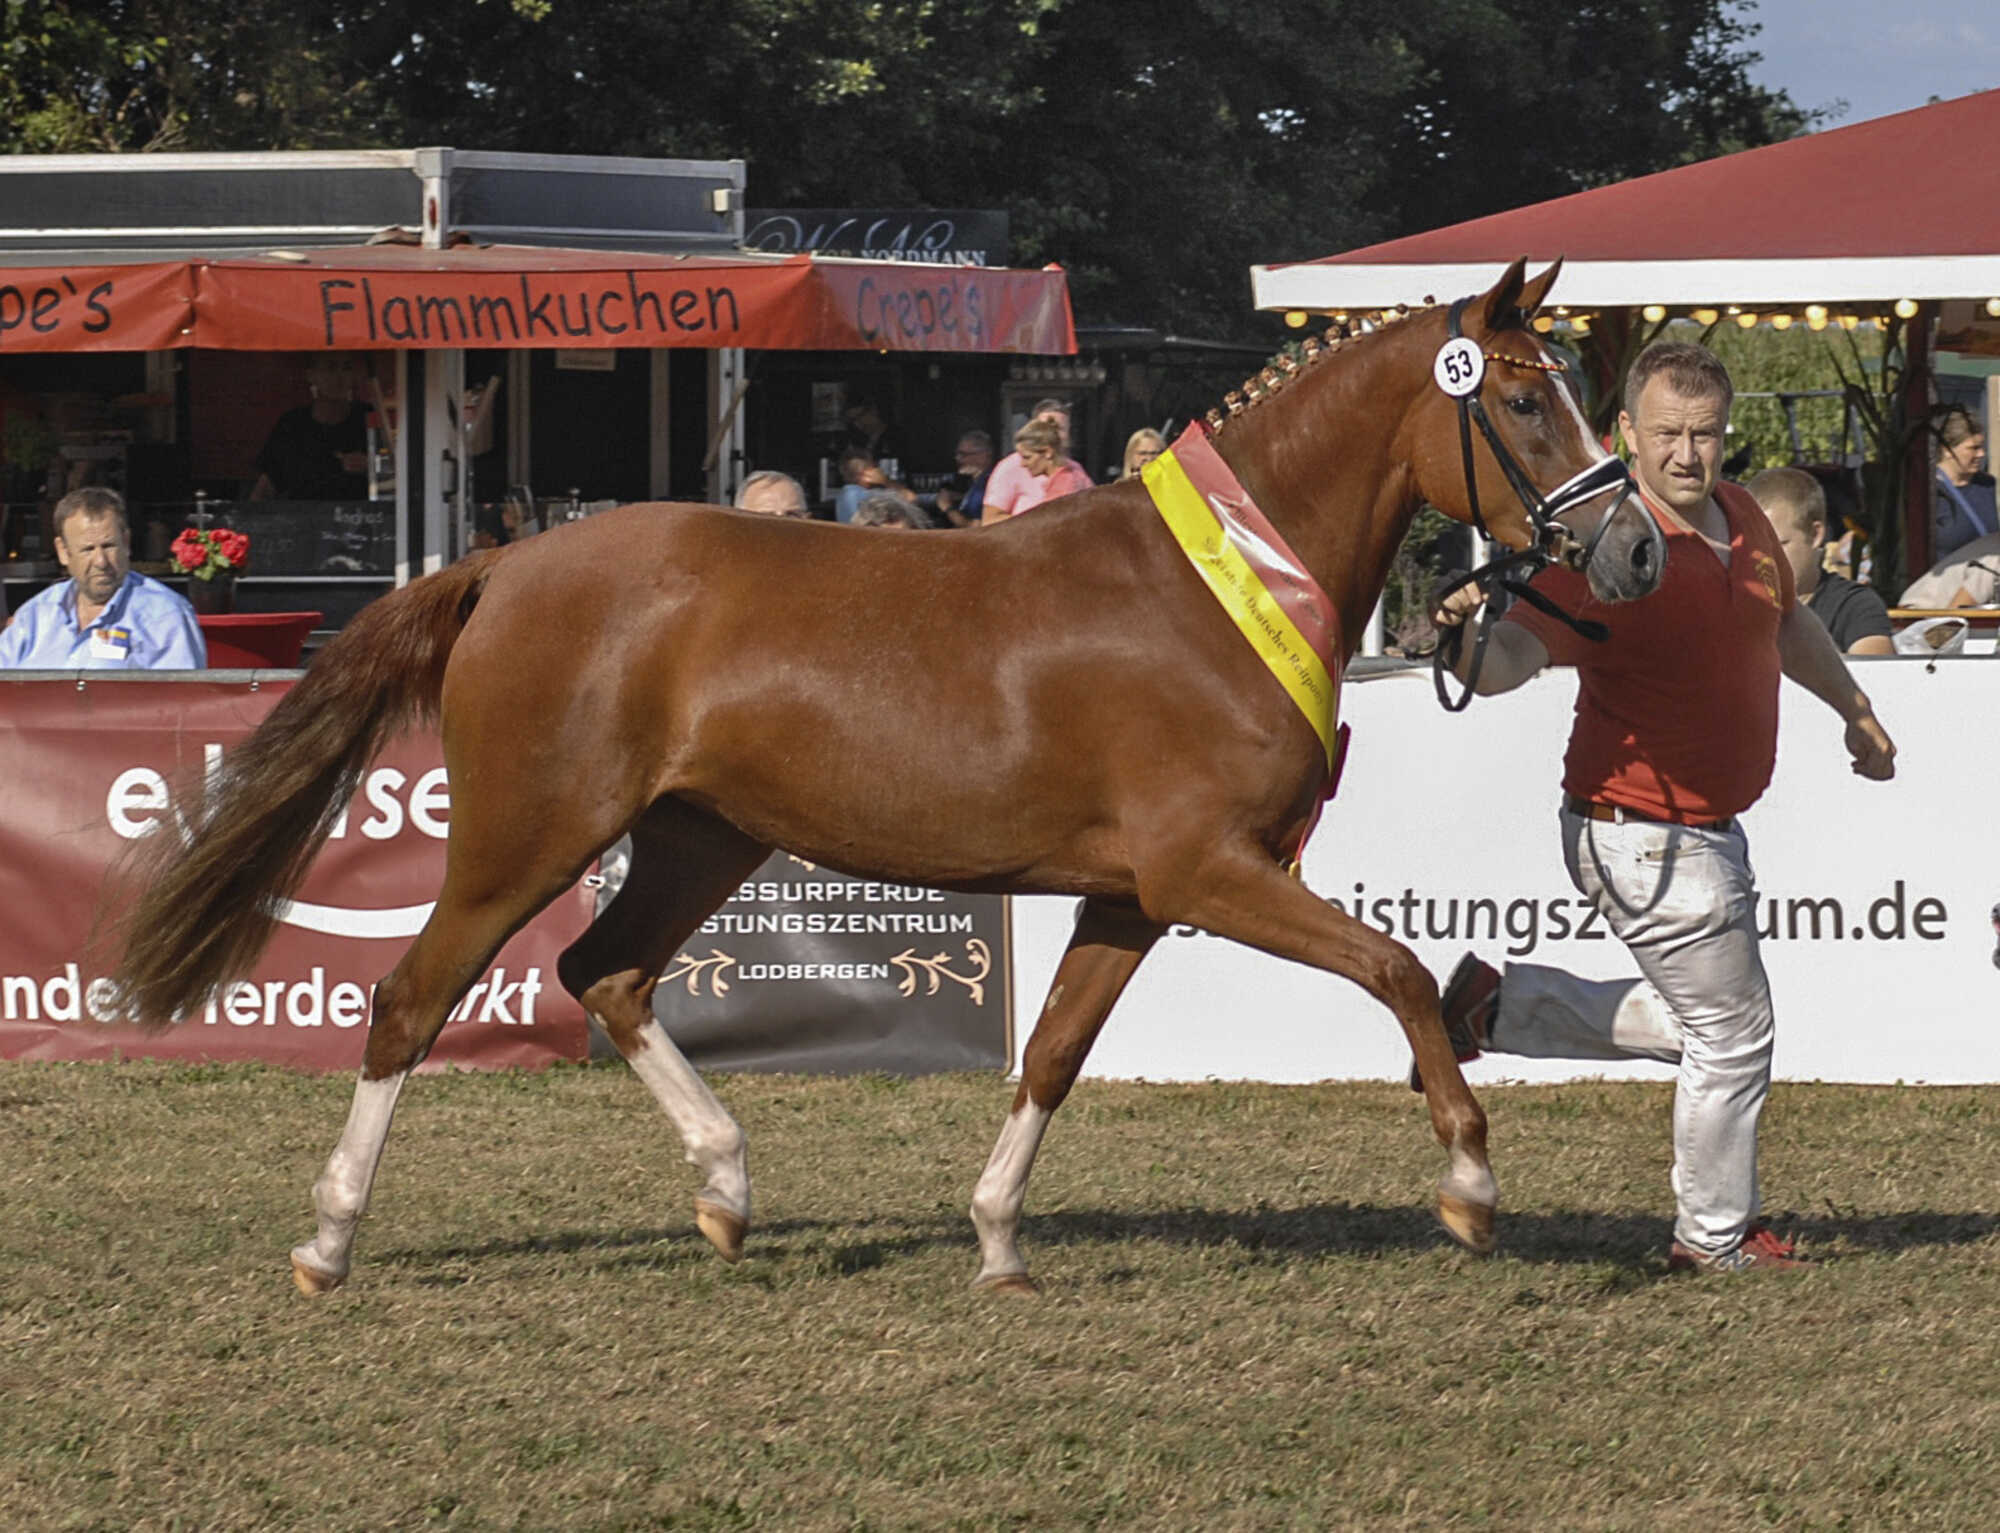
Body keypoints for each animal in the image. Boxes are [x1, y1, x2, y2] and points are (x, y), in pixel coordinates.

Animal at [117, 260, 1664, 1296]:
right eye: (1523, 397)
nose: (1637, 549)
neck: (1219, 590)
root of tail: (505, 561)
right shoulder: (1206, 872)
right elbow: (1399, 970)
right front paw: (1469, 1183)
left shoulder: (1129, 895)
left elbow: (1052, 1052)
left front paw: (996, 1241)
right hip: (526, 839)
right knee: (412, 1000)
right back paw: (329, 1242)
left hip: (699, 838)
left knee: (606, 974)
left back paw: (727, 1193)